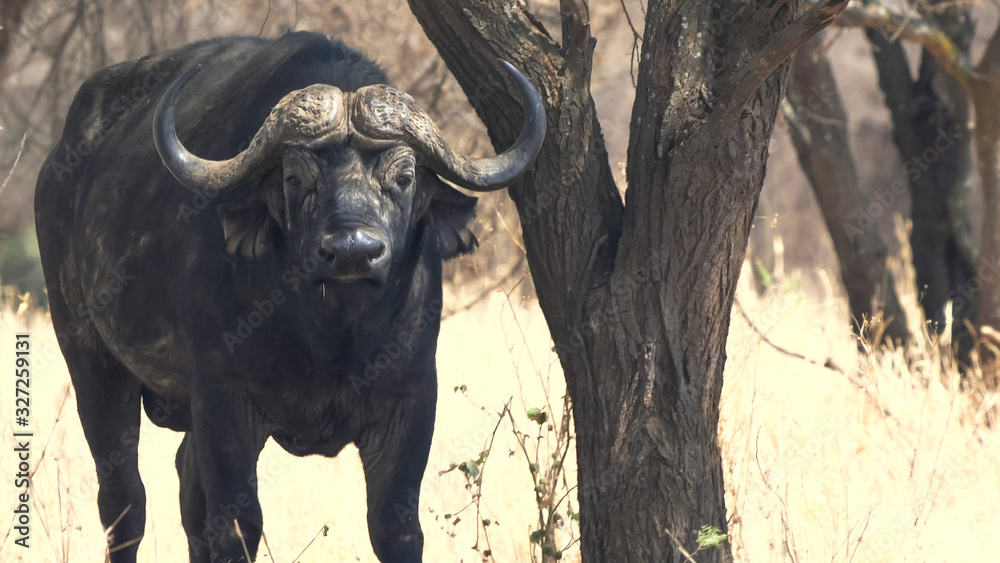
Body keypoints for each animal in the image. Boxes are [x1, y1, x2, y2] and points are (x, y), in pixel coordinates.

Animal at [34, 31, 544, 562]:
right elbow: (238, 525)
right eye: (296, 179)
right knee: (125, 501)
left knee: (186, 490)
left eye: (403, 179)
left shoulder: (413, 398)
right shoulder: (223, 398)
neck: (332, 337)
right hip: (90, 358)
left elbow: (397, 528)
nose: (352, 252)